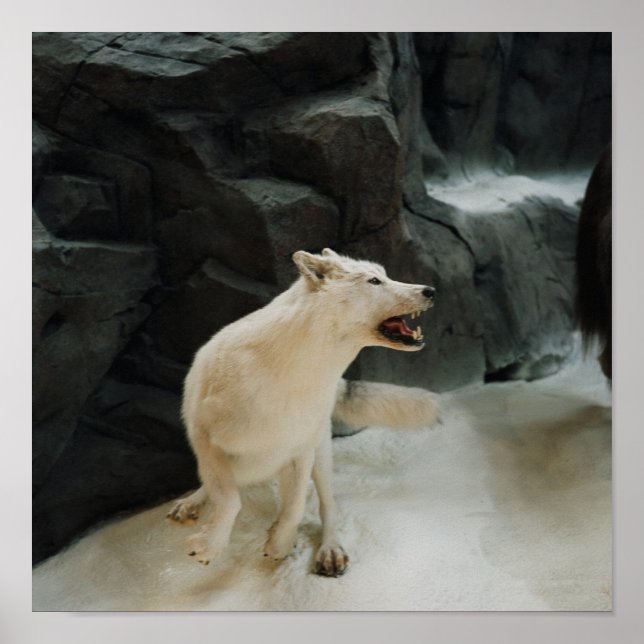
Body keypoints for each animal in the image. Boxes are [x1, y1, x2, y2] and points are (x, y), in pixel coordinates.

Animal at [167, 248, 438, 576]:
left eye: (385, 275)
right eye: (374, 281)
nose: (431, 290)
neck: (294, 379)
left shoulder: (301, 450)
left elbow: (295, 507)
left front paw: (279, 542)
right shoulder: (205, 439)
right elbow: (230, 500)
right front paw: (209, 545)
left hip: (321, 454)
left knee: (327, 505)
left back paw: (330, 549)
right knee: (217, 485)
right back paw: (191, 504)